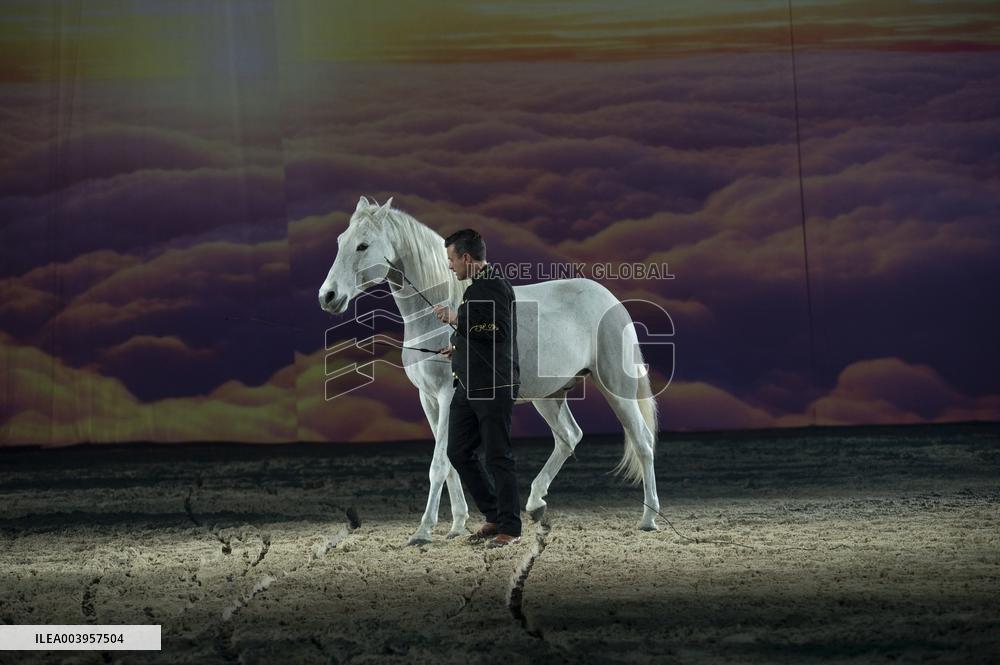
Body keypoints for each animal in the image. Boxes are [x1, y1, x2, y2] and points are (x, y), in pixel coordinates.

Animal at [318, 196, 660, 545]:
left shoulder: (447, 396)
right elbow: (451, 462)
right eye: (340, 241)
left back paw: (648, 519)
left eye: (363, 245)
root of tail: (613, 301)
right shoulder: (429, 400)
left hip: (616, 389)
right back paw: (535, 504)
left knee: (643, 442)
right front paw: (457, 525)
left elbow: (438, 465)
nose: (328, 296)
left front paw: (423, 530)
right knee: (569, 437)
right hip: (549, 396)